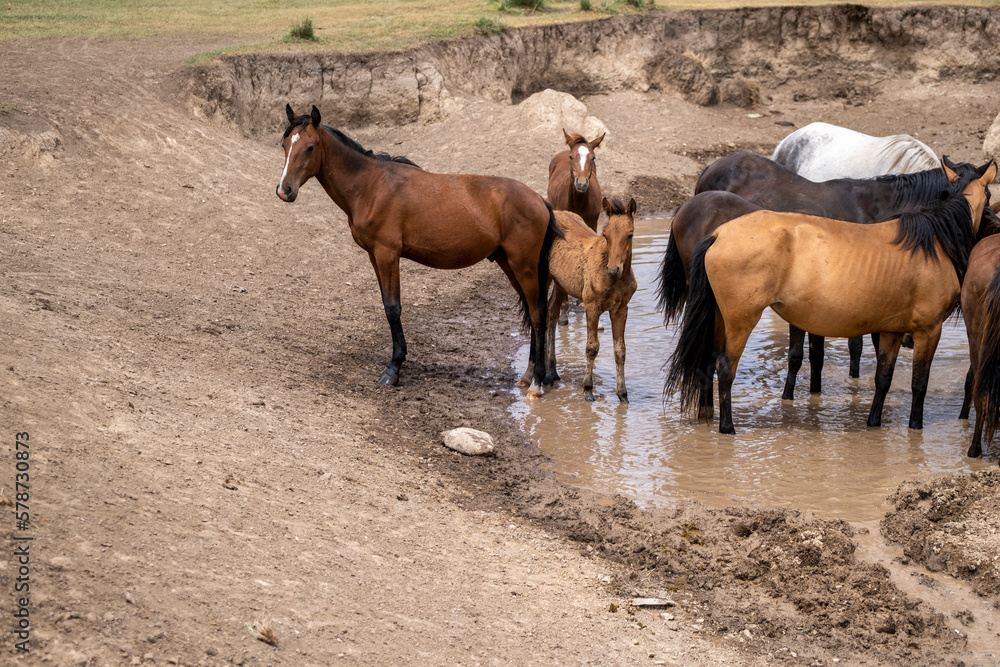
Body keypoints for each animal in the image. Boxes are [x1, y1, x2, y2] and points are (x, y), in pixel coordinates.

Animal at [276, 104, 564, 396]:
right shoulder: (374, 256)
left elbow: (393, 309)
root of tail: (539, 200)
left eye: (310, 147)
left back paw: (538, 380)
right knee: (532, 310)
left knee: (538, 314)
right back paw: (528, 374)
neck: (371, 186)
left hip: (523, 266)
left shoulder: (387, 255)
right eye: (285, 144)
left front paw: (394, 369)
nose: (284, 190)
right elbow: (386, 305)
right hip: (510, 264)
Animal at [552, 130, 604, 326]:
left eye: (593, 157)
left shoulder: (591, 225)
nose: (581, 183)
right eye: (571, 156)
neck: (579, 202)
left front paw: (582, 302)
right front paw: (564, 311)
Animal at [668, 159, 996, 436]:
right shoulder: (928, 331)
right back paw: (727, 427)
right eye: (991, 194)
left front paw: (873, 423)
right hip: (740, 321)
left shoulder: (891, 330)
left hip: (718, 317)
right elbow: (919, 384)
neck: (932, 242)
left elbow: (882, 378)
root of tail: (718, 234)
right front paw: (915, 426)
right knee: (725, 367)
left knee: (709, 360)